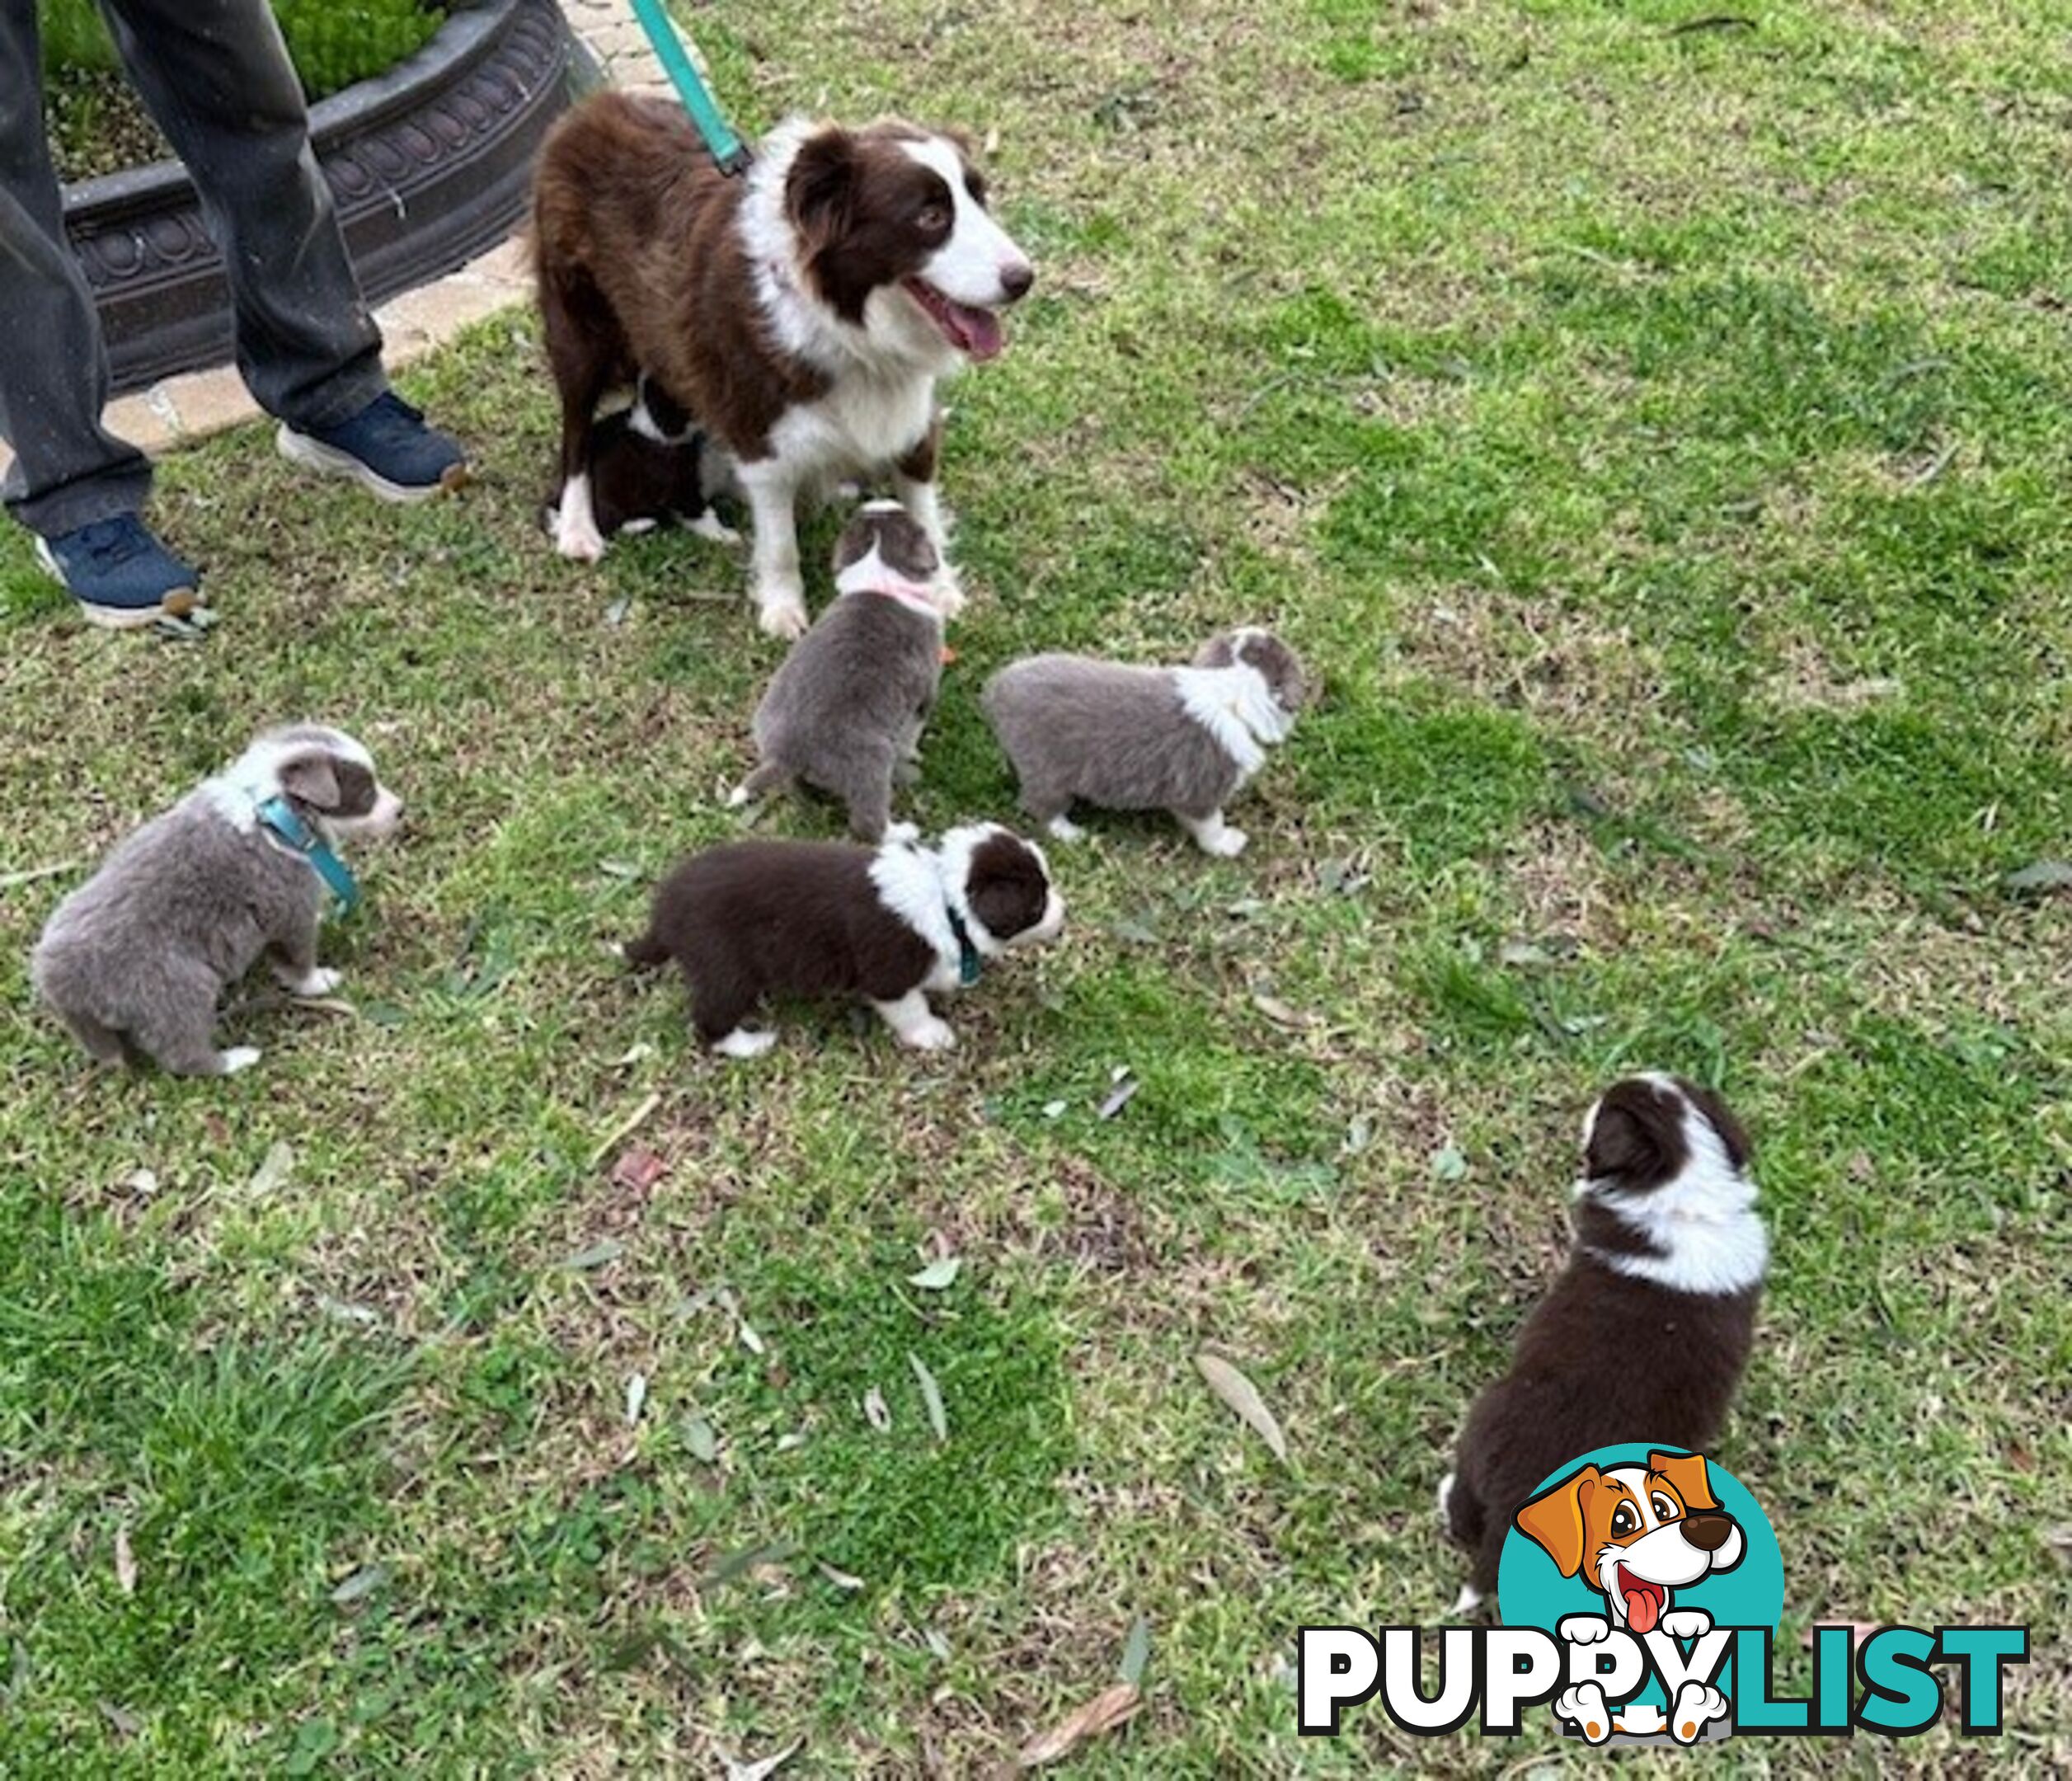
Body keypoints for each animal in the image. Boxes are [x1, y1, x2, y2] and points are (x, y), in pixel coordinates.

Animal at [32, 721, 402, 1069]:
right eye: (366, 791)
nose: (402, 809)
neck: (276, 814)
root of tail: (58, 977)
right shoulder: (290, 909)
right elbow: (298, 958)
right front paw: (320, 981)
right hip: (177, 990)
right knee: (183, 1055)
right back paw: (236, 1060)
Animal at [621, 824, 1060, 1055]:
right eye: (1037, 904)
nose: (1064, 911)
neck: (943, 894)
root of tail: (666, 911)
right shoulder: (888, 975)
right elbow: (910, 1007)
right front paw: (932, 1035)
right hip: (725, 969)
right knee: (709, 1019)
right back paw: (751, 1044)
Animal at [729, 496, 952, 836]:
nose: (881, 499)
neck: (879, 578)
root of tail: (787, 754)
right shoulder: (924, 692)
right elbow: (911, 733)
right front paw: (914, 753)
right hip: (871, 764)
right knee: (868, 822)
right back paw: (902, 831)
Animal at [978, 625, 1301, 857]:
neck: (1230, 692)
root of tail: (998, 687)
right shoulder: (1201, 793)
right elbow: (1211, 825)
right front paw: (1226, 844)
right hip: (1048, 775)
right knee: (1041, 808)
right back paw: (1071, 833)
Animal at [1442, 1069, 1765, 1632]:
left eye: (1607, 1111)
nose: (1599, 1091)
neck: (1687, 1197)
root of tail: (1516, 1503)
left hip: (1483, 1423)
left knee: (1465, 1511)